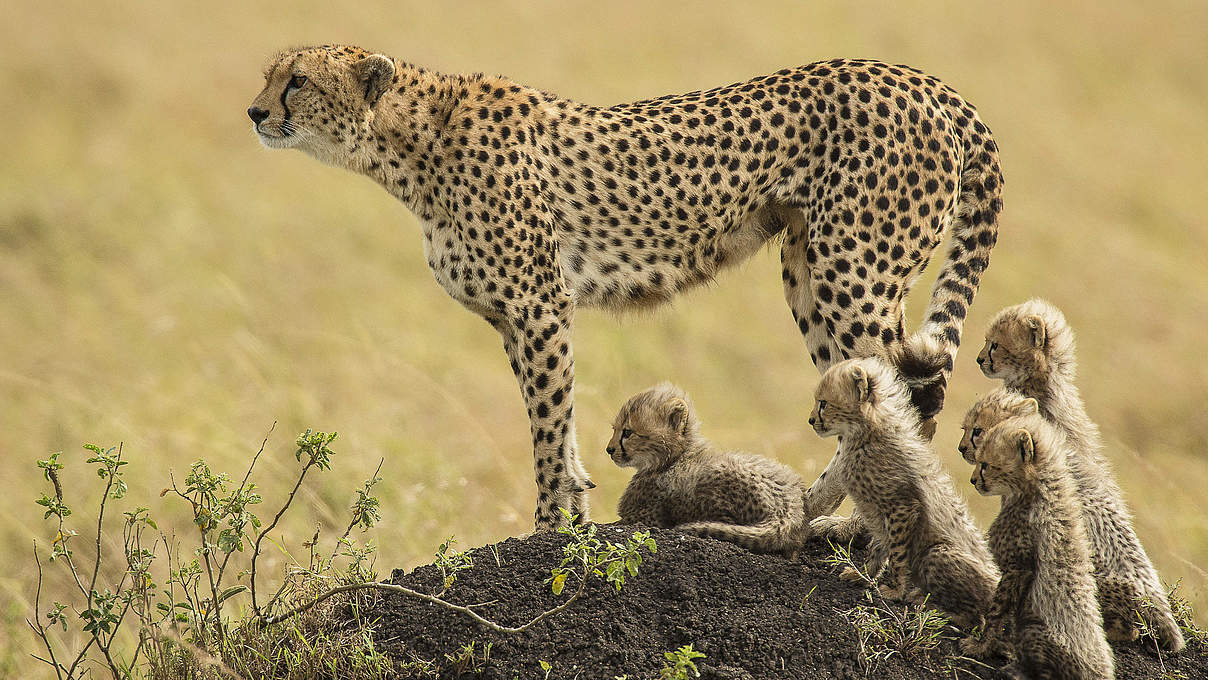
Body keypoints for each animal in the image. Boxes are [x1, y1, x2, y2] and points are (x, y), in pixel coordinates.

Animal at [245, 45, 1000, 529]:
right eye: (271, 76)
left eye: (297, 81)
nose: (254, 113)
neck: (410, 144)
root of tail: (926, 81)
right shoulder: (514, 317)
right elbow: (555, 419)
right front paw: (574, 501)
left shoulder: (539, 304)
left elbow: (549, 419)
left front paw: (552, 524)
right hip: (808, 271)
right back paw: (810, 512)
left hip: (856, 271)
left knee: (905, 400)